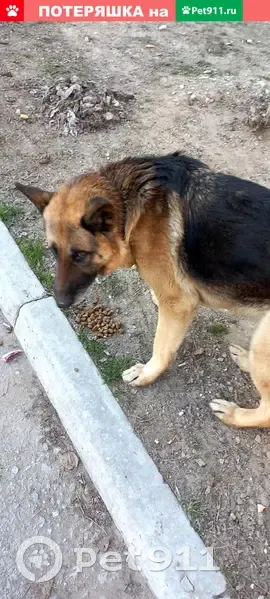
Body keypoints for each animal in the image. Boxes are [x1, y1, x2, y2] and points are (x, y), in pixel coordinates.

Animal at [15, 152, 270, 428]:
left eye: (81, 255)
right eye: (53, 251)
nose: (60, 303)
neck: (128, 210)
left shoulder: (178, 304)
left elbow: (161, 346)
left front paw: (147, 374)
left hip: (262, 342)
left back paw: (235, 414)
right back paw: (244, 360)